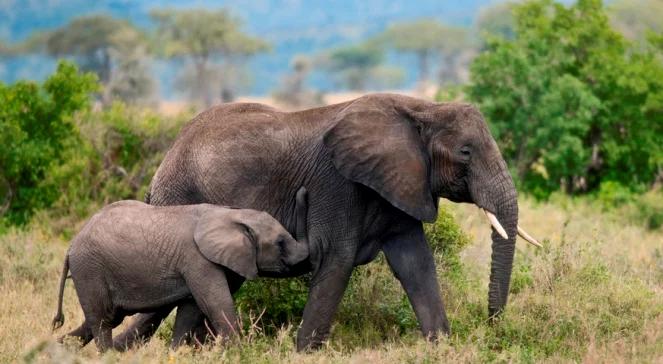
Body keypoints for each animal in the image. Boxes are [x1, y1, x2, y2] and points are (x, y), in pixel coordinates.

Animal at [53, 186, 310, 352]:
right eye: (280, 243)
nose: (303, 191)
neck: (231, 213)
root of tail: (71, 246)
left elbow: (190, 311)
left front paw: (175, 353)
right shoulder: (198, 260)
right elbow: (216, 304)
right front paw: (238, 353)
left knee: (102, 319)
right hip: (90, 269)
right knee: (102, 321)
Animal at [114, 93, 540, 350]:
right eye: (466, 152)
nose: (494, 326)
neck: (422, 108)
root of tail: (162, 165)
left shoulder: (400, 185)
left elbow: (416, 264)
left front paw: (441, 347)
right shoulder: (337, 185)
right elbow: (337, 259)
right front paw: (305, 353)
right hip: (180, 196)